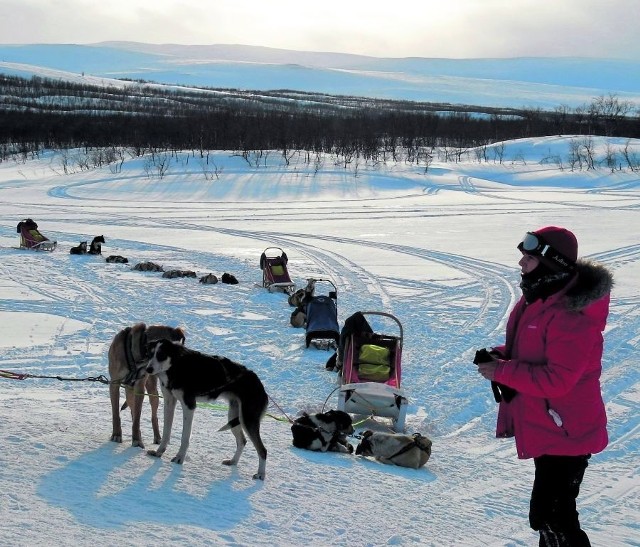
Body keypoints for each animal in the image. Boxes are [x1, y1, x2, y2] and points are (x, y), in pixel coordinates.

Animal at [146, 340, 268, 482]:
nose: (148, 369)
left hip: (247, 419)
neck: (177, 365)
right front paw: (158, 452)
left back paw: (260, 474)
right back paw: (233, 462)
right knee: (242, 441)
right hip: (234, 417)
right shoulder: (169, 402)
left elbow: (185, 437)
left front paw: (180, 458)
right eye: (150, 354)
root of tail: (260, 386)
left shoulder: (189, 406)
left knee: (262, 450)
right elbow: (166, 433)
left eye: (161, 355)